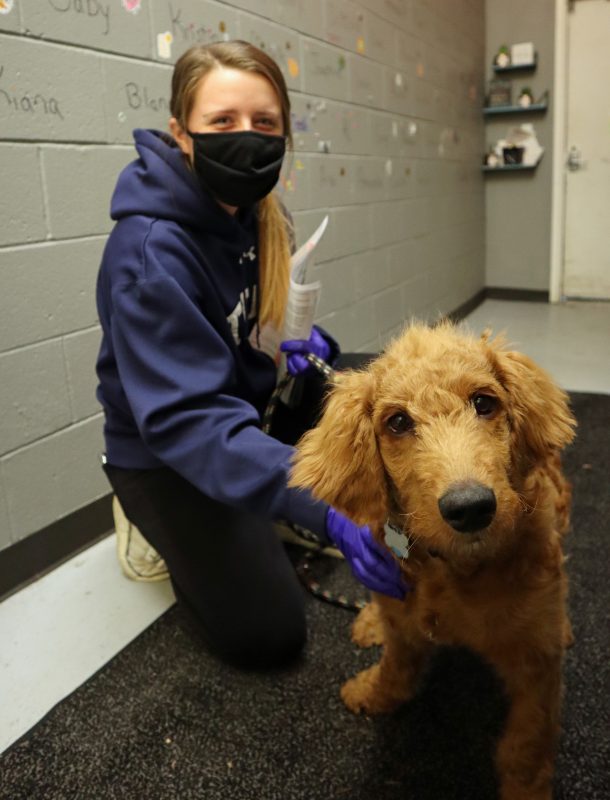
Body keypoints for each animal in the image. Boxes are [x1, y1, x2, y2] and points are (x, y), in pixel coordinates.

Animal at [290, 322, 576, 800]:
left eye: (484, 403)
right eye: (398, 422)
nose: (471, 508)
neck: (456, 569)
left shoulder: (535, 663)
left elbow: (527, 741)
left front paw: (526, 789)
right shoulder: (403, 614)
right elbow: (397, 665)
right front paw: (374, 692)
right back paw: (369, 620)